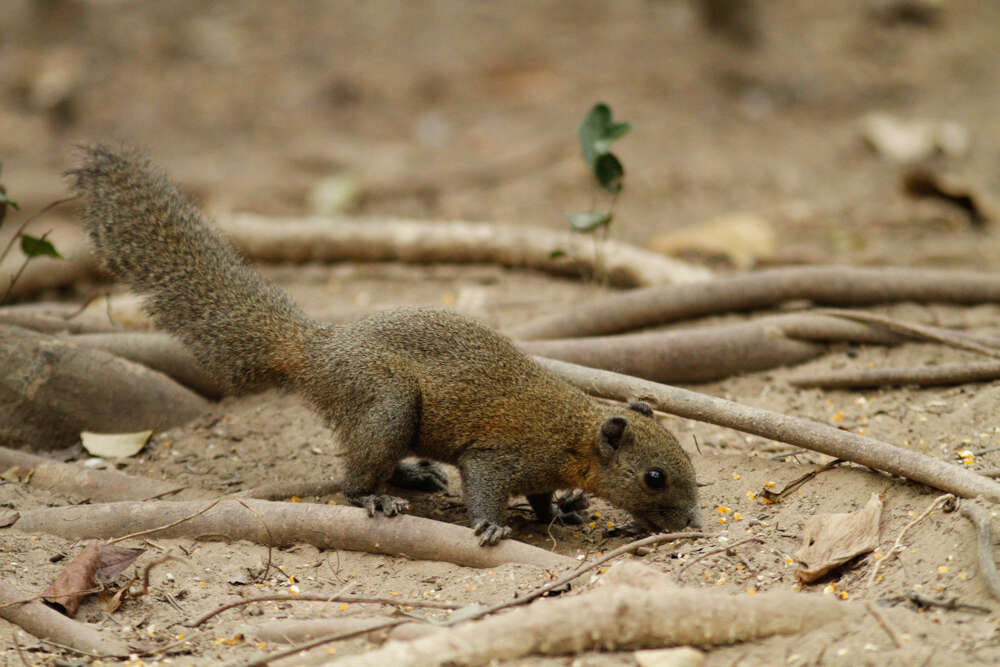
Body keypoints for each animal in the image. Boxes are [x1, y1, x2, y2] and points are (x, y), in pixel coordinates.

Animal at [72, 144, 704, 544]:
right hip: (388, 403)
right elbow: (487, 489)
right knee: (353, 476)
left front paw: (561, 512)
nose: (694, 521)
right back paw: (375, 498)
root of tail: (317, 350)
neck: (573, 433)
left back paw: (413, 476)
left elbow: (544, 497)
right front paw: (493, 525)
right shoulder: (500, 454)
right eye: (654, 477)